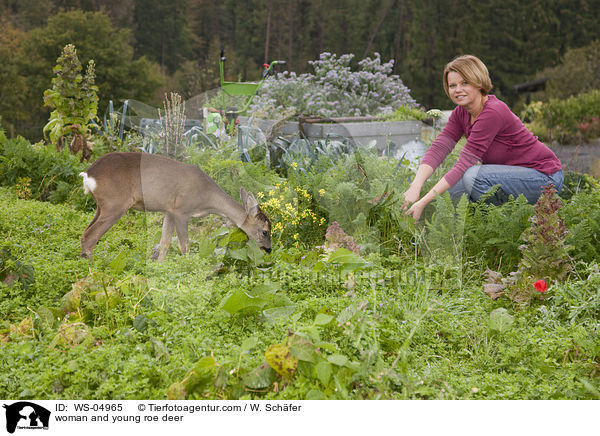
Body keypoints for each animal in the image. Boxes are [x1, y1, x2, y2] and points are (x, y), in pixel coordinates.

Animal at [78, 152, 270, 260]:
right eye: (265, 231)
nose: (268, 249)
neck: (207, 198)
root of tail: (88, 174)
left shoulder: (168, 211)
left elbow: (165, 243)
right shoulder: (181, 211)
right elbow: (184, 245)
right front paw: (187, 268)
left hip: (101, 206)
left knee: (84, 233)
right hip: (115, 204)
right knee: (90, 236)